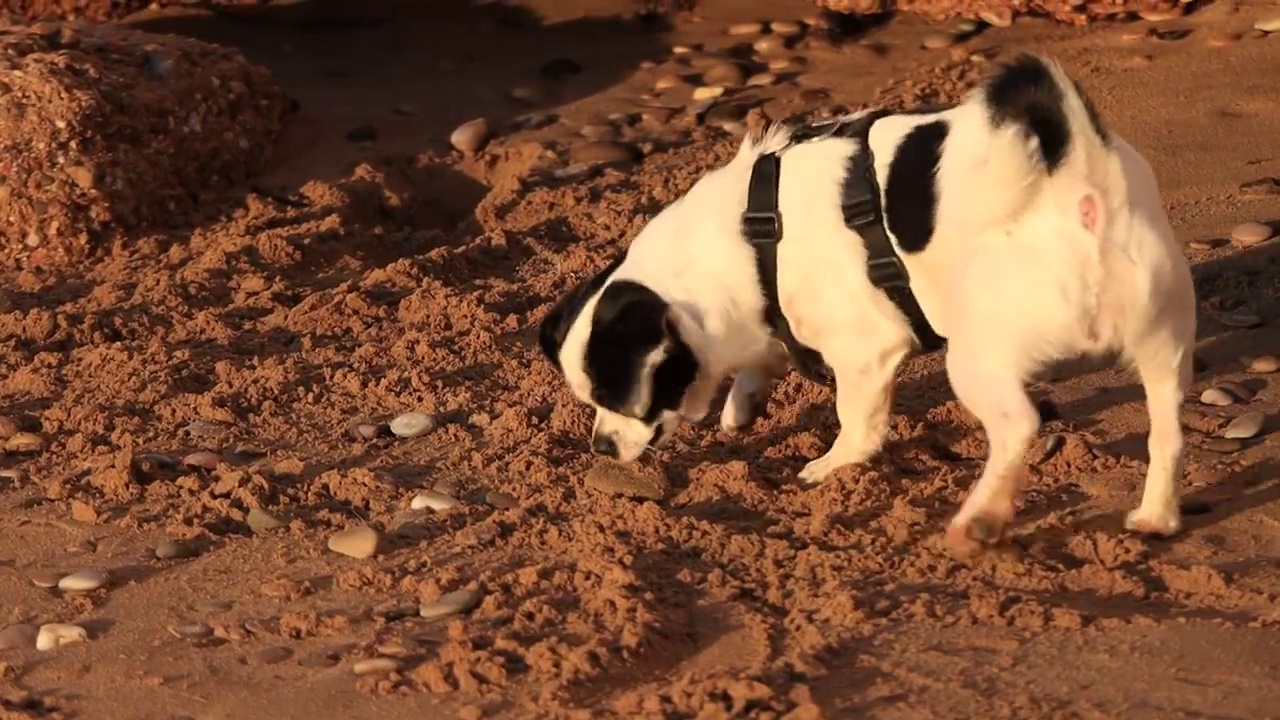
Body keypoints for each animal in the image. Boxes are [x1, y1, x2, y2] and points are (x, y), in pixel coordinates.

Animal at [540, 53, 1198, 550]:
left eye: (615, 397)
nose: (599, 447)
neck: (749, 238)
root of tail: (1082, 185)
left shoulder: (863, 355)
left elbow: (859, 427)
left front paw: (830, 467)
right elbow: (760, 363)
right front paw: (742, 405)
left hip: (976, 360)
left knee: (1020, 427)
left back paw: (979, 520)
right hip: (1164, 348)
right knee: (1167, 434)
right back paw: (1155, 517)